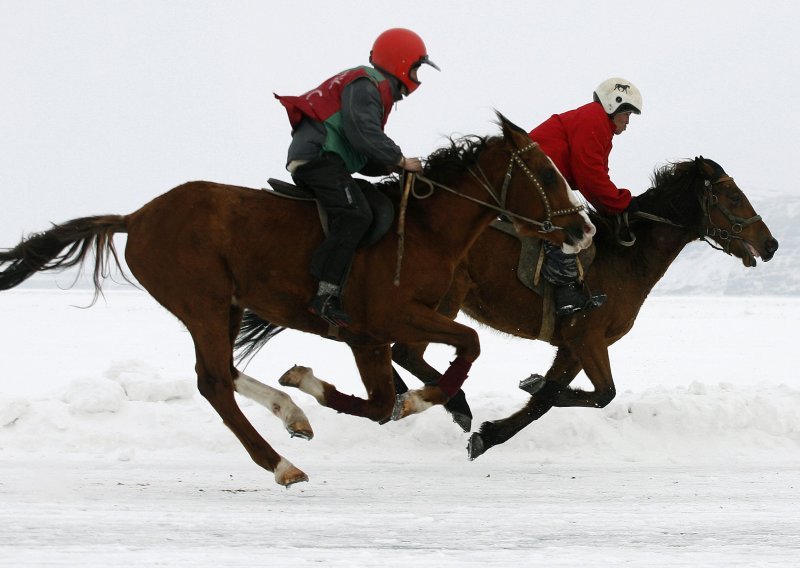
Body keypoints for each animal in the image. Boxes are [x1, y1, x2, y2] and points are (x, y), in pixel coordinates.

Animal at [0, 113, 592, 486]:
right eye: (546, 173)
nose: (584, 230)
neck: (424, 228)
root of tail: (137, 217)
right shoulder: (386, 320)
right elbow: (459, 351)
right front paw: (422, 401)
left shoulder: (371, 337)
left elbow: (385, 401)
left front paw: (307, 384)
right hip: (203, 301)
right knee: (213, 382)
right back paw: (280, 462)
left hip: (226, 305)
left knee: (222, 371)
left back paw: (292, 414)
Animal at [390, 155, 780, 458]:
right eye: (733, 196)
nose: (771, 244)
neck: (625, 257)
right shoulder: (586, 337)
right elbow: (600, 393)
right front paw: (516, 402)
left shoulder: (574, 347)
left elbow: (550, 399)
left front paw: (494, 431)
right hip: (445, 298)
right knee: (405, 352)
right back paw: (454, 403)